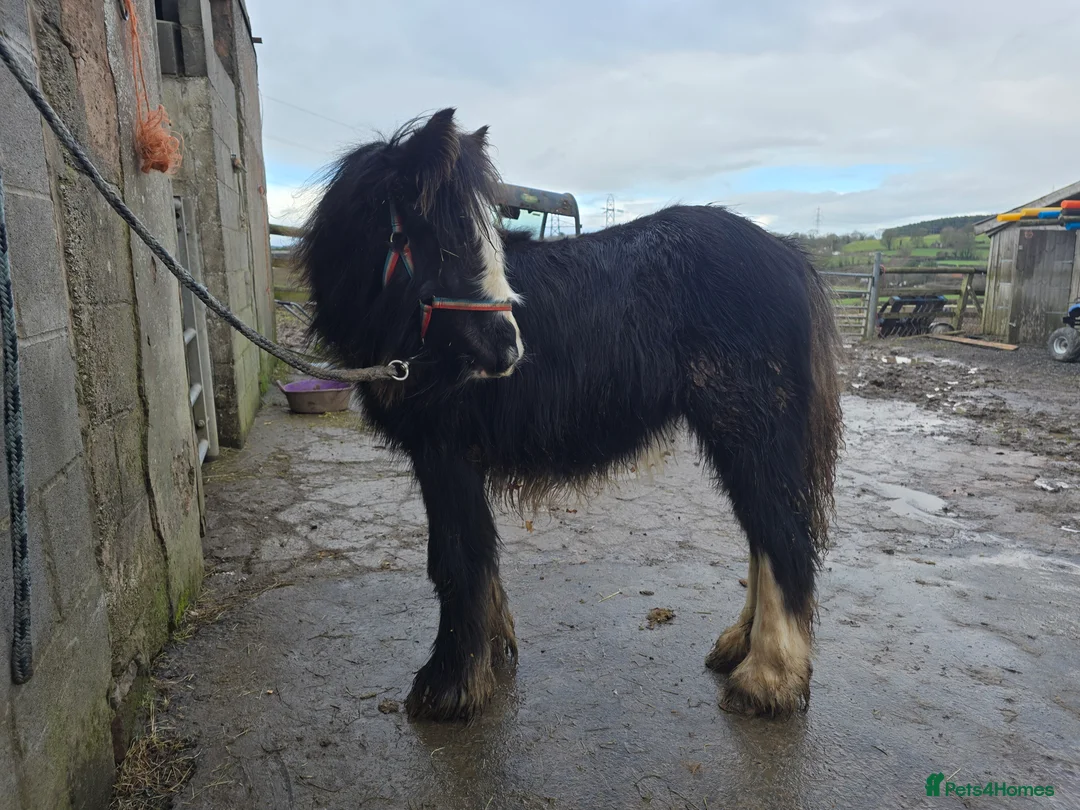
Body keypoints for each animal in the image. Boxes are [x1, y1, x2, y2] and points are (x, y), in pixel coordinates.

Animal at [296, 108, 843, 721]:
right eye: (446, 231)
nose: (508, 348)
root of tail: (788, 256)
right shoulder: (452, 456)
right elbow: (477, 555)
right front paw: (491, 652)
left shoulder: (443, 452)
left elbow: (454, 559)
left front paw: (450, 687)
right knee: (762, 534)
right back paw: (739, 649)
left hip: (750, 431)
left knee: (781, 536)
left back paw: (768, 679)